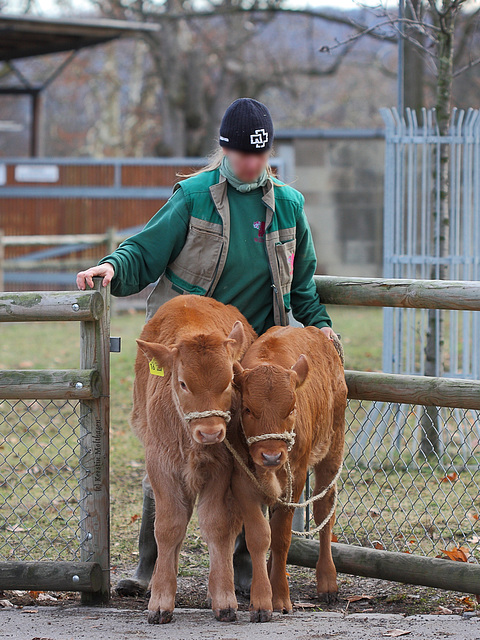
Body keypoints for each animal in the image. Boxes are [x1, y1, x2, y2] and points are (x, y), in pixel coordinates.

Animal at [131, 296, 256, 624]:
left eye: (229, 381)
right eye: (183, 383)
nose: (210, 432)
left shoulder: (222, 468)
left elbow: (217, 525)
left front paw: (223, 598)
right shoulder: (160, 466)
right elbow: (168, 526)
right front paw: (161, 599)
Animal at [231, 324, 346, 620]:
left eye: (292, 408)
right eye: (247, 408)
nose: (272, 456)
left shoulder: (296, 478)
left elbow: (282, 538)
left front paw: (280, 597)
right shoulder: (242, 481)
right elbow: (260, 537)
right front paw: (262, 600)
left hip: (332, 451)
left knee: (324, 511)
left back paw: (327, 582)